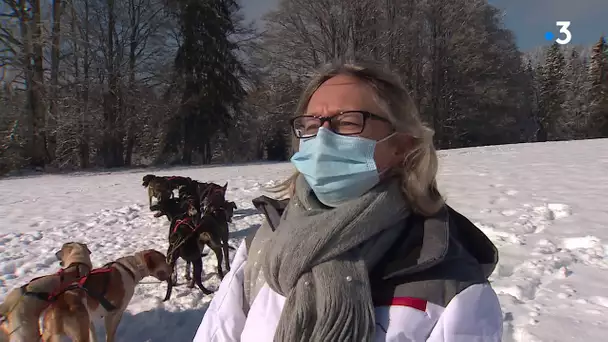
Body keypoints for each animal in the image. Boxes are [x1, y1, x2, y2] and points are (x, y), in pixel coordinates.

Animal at [39, 248, 171, 342]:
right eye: (164, 259)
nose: (172, 268)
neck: (131, 268)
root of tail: (56, 309)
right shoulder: (114, 313)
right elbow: (110, 335)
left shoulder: (92, 321)